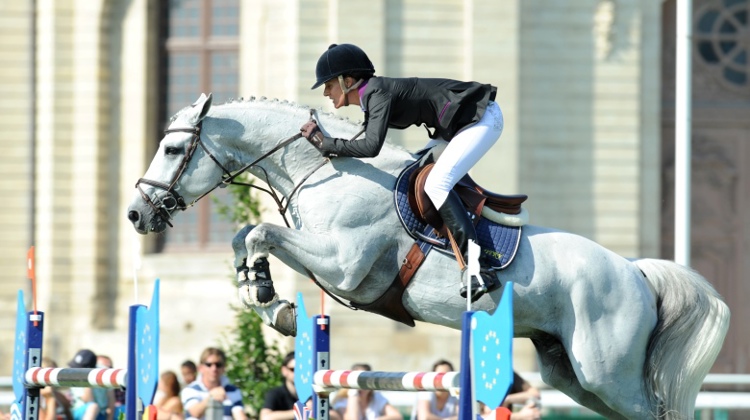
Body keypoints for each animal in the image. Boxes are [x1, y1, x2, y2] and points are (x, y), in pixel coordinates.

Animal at [131, 93, 736, 418]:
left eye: (173, 148)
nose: (137, 214)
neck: (324, 169)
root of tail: (635, 272)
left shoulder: (343, 265)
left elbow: (259, 233)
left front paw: (269, 299)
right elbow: (246, 238)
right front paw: (265, 295)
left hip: (606, 370)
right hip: (573, 375)